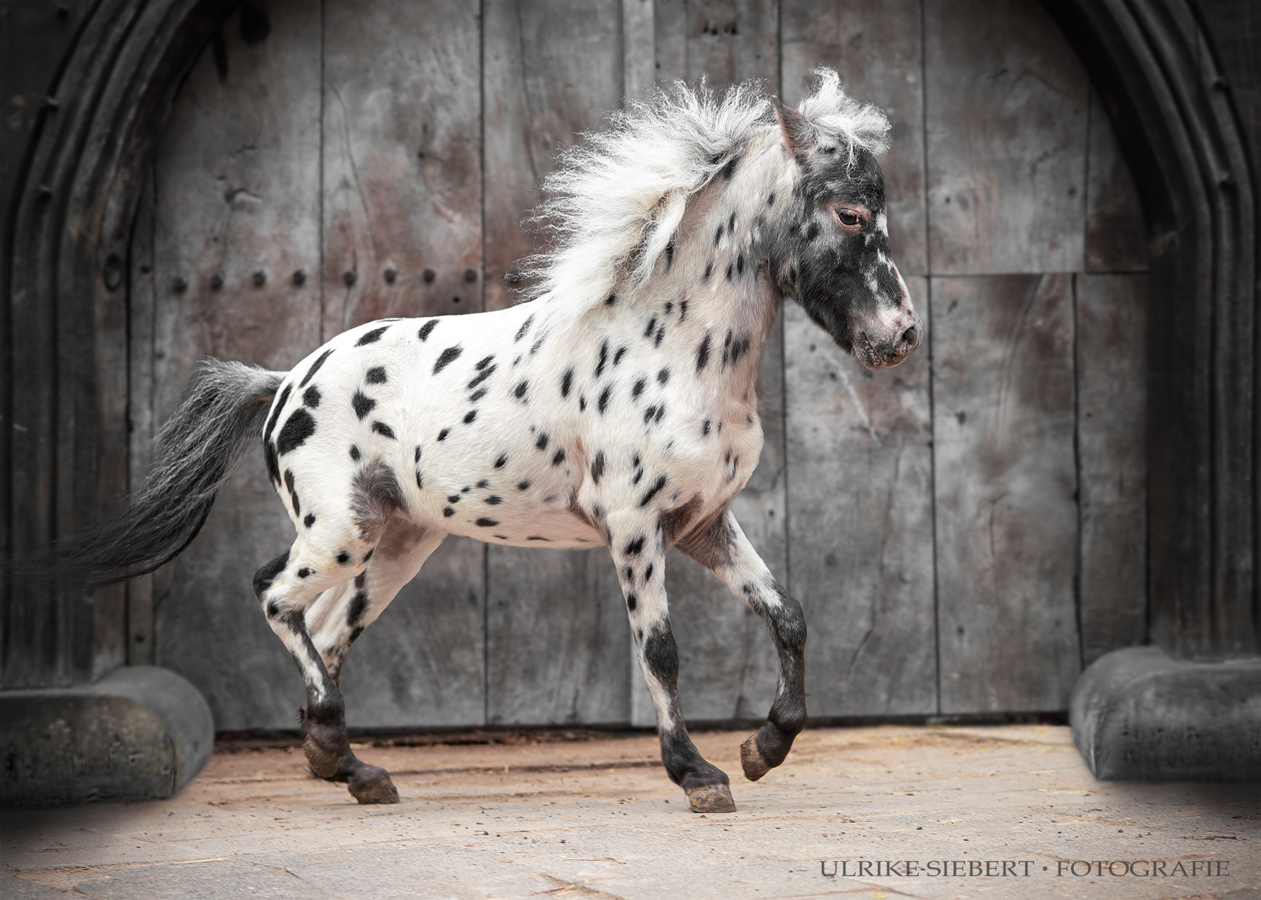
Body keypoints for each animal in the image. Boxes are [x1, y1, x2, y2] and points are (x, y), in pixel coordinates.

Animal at [49, 69, 923, 811]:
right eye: (850, 214)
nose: (901, 335)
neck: (672, 351)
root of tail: (285, 381)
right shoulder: (634, 528)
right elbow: (661, 650)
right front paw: (698, 774)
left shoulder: (703, 525)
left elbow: (788, 615)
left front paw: (763, 749)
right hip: (337, 532)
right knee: (275, 598)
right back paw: (339, 755)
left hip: (395, 545)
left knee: (324, 631)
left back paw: (349, 767)